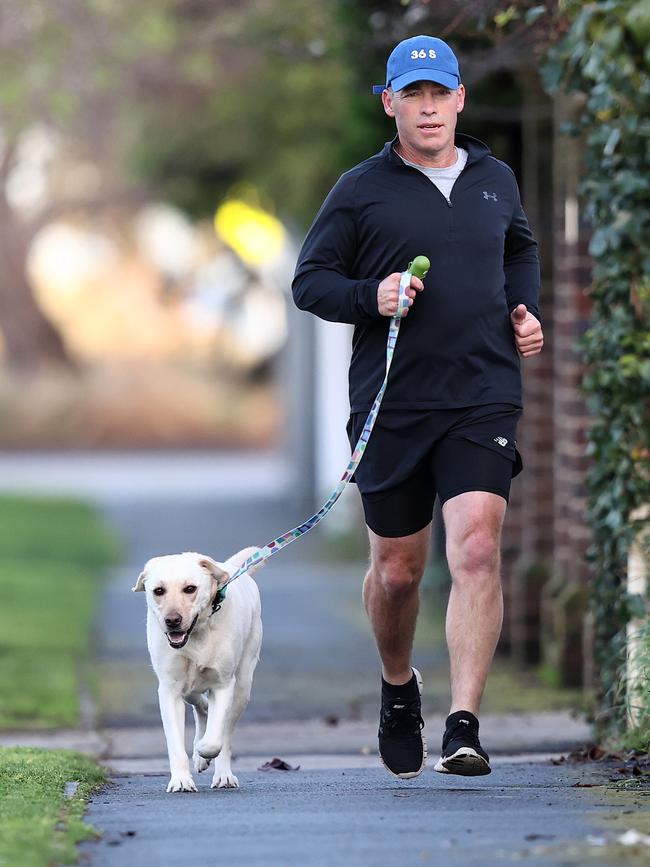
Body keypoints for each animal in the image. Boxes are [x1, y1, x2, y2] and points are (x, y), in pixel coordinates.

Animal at [133, 548, 262, 792]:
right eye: (158, 591)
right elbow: (175, 743)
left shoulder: (223, 684)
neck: (197, 633)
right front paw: (181, 780)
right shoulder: (170, 689)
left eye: (190, 588)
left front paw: (202, 753)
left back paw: (223, 775)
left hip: (243, 686)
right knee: (201, 706)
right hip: (188, 686)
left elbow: (214, 740)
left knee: (225, 731)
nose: (172, 620)